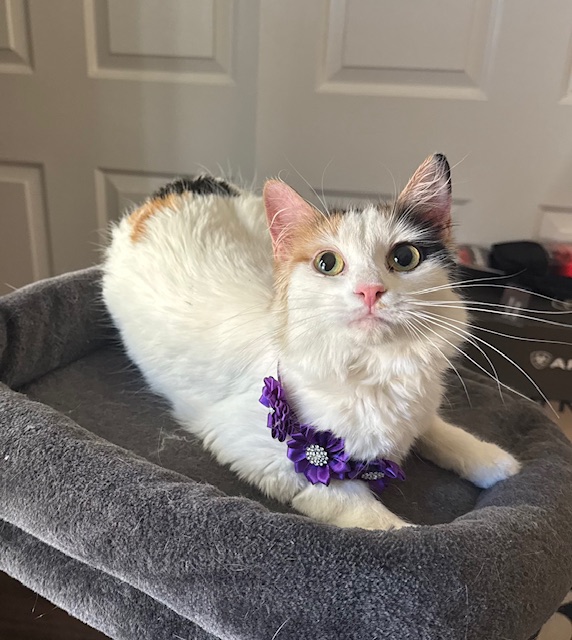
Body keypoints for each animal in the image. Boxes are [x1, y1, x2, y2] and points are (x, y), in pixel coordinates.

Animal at [102, 154, 520, 530]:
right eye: (327, 264)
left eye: (405, 257)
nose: (370, 291)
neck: (374, 369)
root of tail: (182, 186)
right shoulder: (259, 452)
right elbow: (370, 515)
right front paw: (408, 538)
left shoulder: (417, 409)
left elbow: (437, 430)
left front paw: (497, 463)